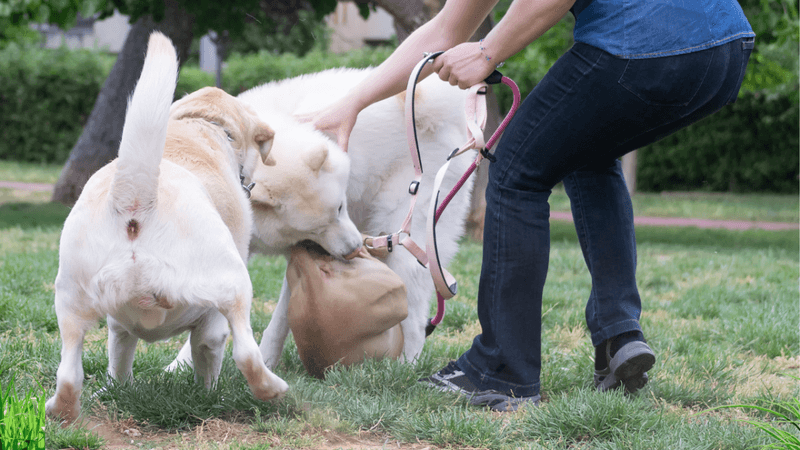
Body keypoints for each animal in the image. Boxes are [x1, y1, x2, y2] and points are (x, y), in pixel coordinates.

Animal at [45, 33, 290, 424]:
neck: (201, 125)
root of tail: (135, 198)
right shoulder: (210, 326)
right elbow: (210, 359)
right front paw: (209, 396)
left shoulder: (118, 327)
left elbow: (120, 359)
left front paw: (118, 390)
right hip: (234, 282)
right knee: (247, 354)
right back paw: (272, 389)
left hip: (69, 302)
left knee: (69, 374)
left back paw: (61, 409)